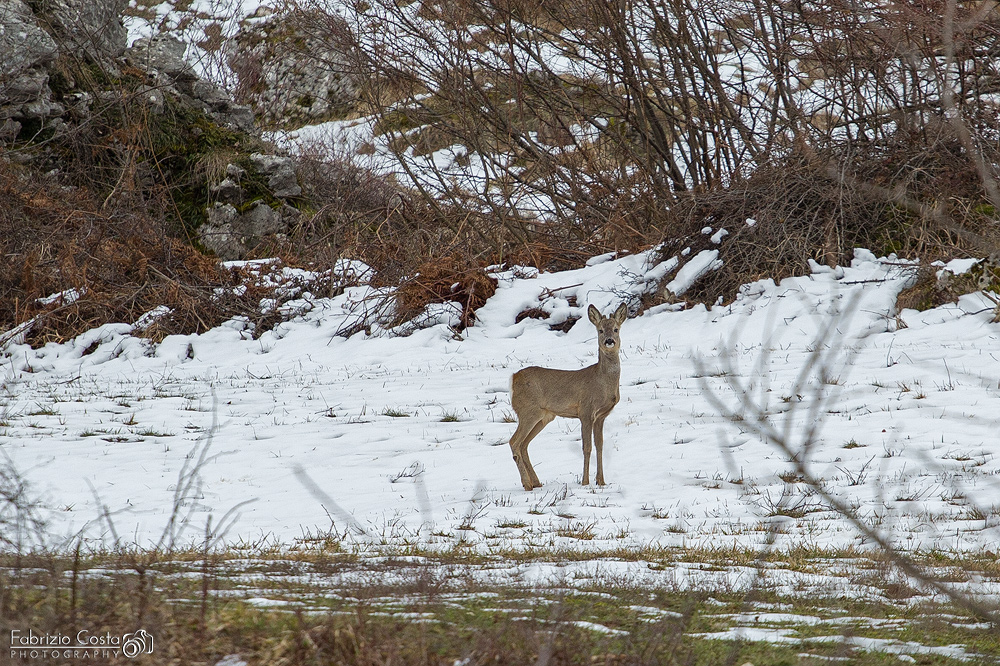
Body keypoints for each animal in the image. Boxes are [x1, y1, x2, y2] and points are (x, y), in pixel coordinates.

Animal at [508, 302, 624, 488]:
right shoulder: (585, 411)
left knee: (524, 444)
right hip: (528, 411)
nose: (609, 341)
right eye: (600, 330)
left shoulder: (601, 416)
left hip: (544, 417)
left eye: (615, 329)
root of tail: (513, 378)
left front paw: (601, 481)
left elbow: (599, 446)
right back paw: (527, 484)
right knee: (514, 442)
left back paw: (537, 483)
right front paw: (585, 482)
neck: (602, 382)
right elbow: (587, 447)